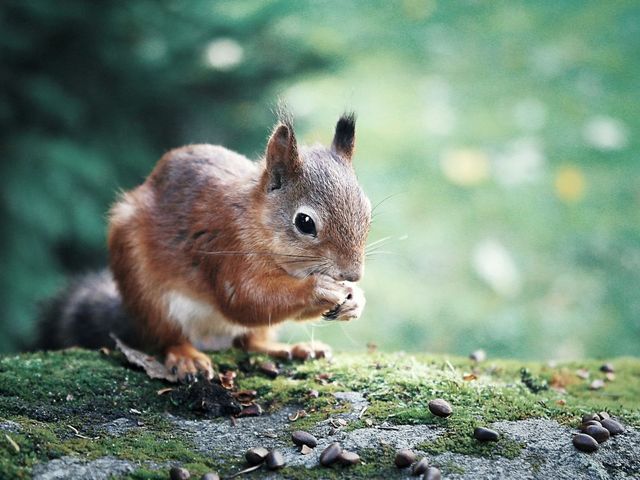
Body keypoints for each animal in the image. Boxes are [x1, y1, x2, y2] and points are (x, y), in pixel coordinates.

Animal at [37, 112, 371, 381]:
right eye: (304, 222)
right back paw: (188, 358)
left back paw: (290, 348)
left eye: (367, 210)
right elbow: (245, 300)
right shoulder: (226, 247)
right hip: (148, 294)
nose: (353, 274)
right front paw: (319, 289)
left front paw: (355, 299)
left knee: (251, 341)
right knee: (168, 337)